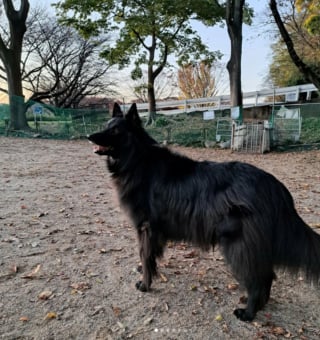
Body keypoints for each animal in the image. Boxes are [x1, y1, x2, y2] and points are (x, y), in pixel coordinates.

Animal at [89, 103, 320, 322]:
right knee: (267, 275)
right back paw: (261, 306)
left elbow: (145, 255)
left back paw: (248, 313)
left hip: (239, 246)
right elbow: (148, 254)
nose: (89, 136)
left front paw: (145, 284)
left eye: (116, 130)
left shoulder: (145, 227)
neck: (137, 159)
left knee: (258, 279)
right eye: (107, 125)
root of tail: (276, 188)